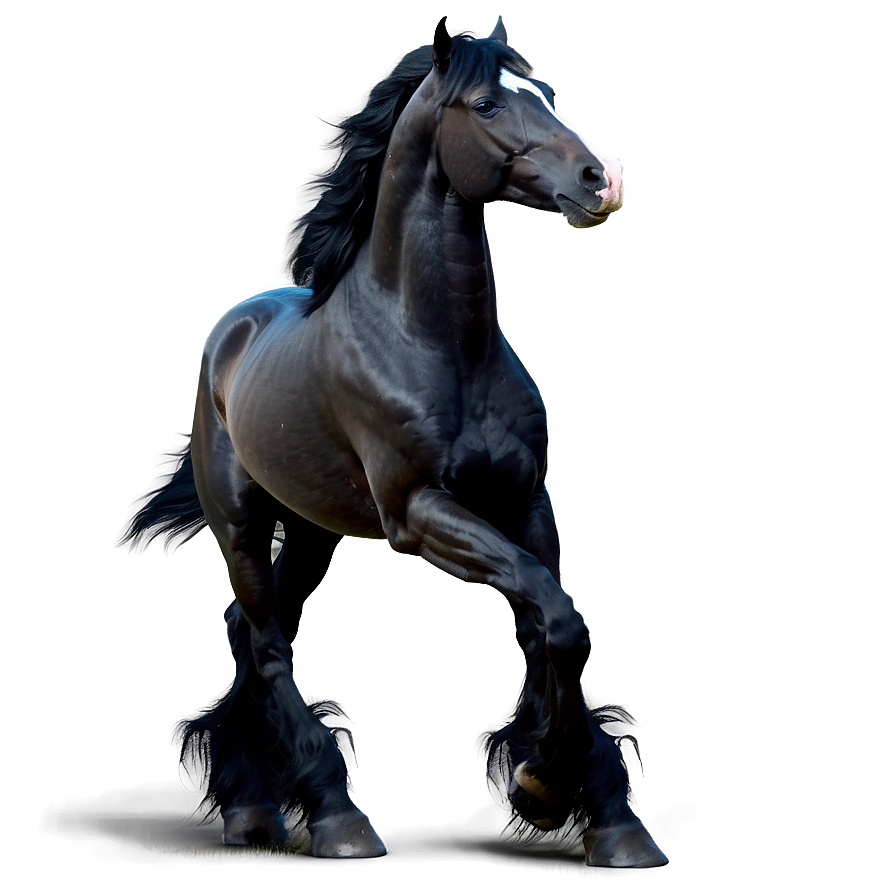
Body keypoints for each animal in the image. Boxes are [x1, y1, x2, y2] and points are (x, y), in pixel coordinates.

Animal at [123, 16, 668, 867]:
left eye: (545, 93)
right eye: (486, 103)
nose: (597, 182)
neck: (440, 347)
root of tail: (230, 329)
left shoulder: (526, 503)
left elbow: (553, 629)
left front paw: (592, 807)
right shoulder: (419, 512)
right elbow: (558, 617)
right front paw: (549, 787)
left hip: (311, 533)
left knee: (255, 637)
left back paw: (255, 809)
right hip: (240, 524)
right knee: (267, 645)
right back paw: (334, 816)